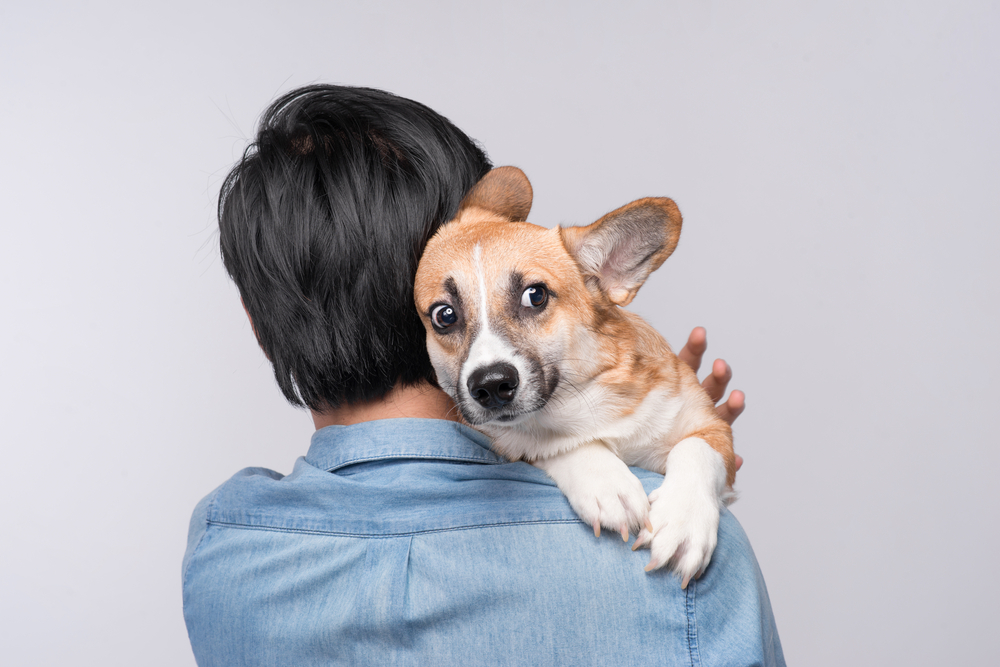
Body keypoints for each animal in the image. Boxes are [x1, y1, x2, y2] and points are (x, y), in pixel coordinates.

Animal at [412, 168, 736, 588]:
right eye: (444, 316)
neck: (584, 402)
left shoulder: (712, 427)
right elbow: (549, 444)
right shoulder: (510, 439)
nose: (491, 385)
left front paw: (684, 522)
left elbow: (696, 449)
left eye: (535, 295)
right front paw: (606, 483)